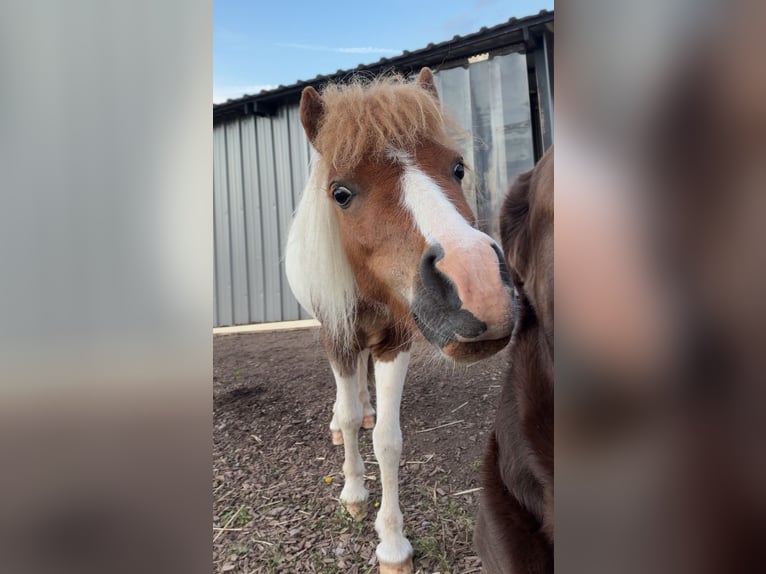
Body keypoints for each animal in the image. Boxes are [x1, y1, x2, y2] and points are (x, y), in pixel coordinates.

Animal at [285, 68, 514, 574]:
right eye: (341, 193)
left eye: (458, 168)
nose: (479, 288)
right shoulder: (338, 337)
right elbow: (349, 418)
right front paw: (353, 493)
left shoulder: (395, 342)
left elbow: (387, 441)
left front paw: (391, 544)